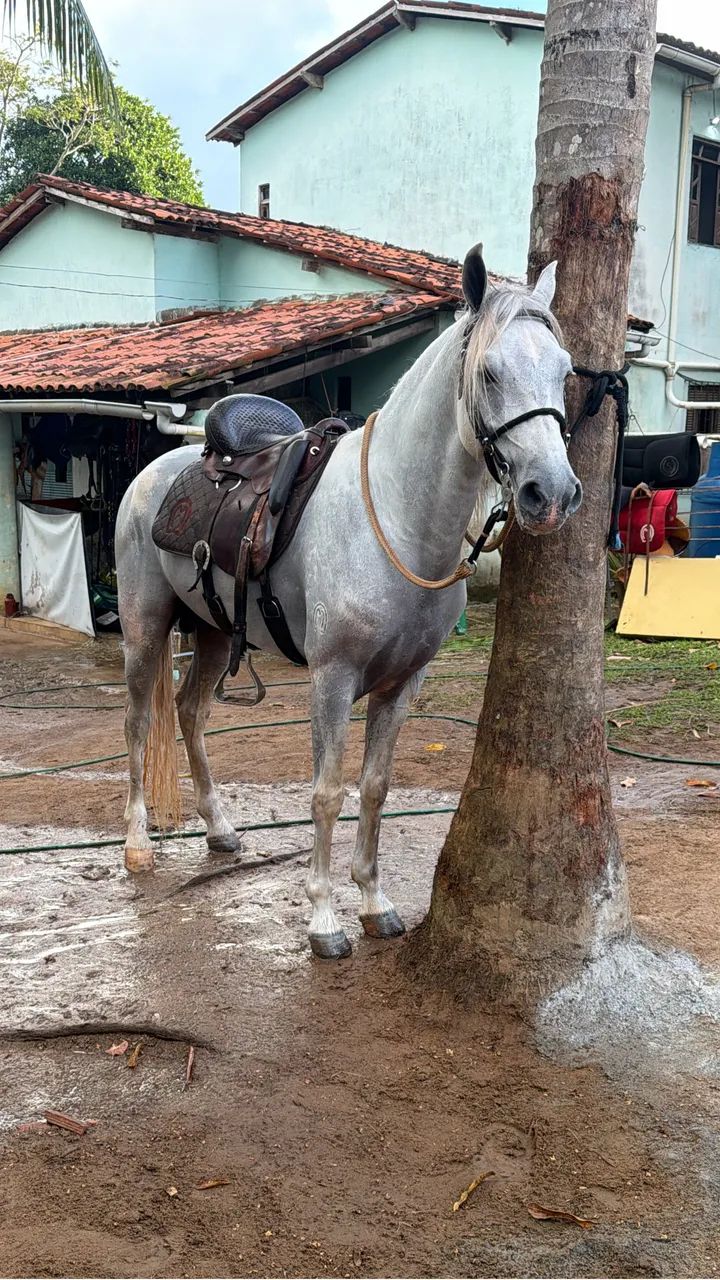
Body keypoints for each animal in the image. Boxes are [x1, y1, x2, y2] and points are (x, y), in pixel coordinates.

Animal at [115, 244, 582, 959]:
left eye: (564, 371)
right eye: (491, 372)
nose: (549, 493)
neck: (395, 517)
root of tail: (158, 471)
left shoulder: (404, 682)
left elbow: (377, 787)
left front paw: (374, 902)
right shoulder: (332, 679)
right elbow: (328, 792)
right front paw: (324, 920)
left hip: (217, 632)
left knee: (191, 714)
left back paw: (220, 829)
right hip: (145, 627)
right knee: (142, 720)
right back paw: (138, 844)